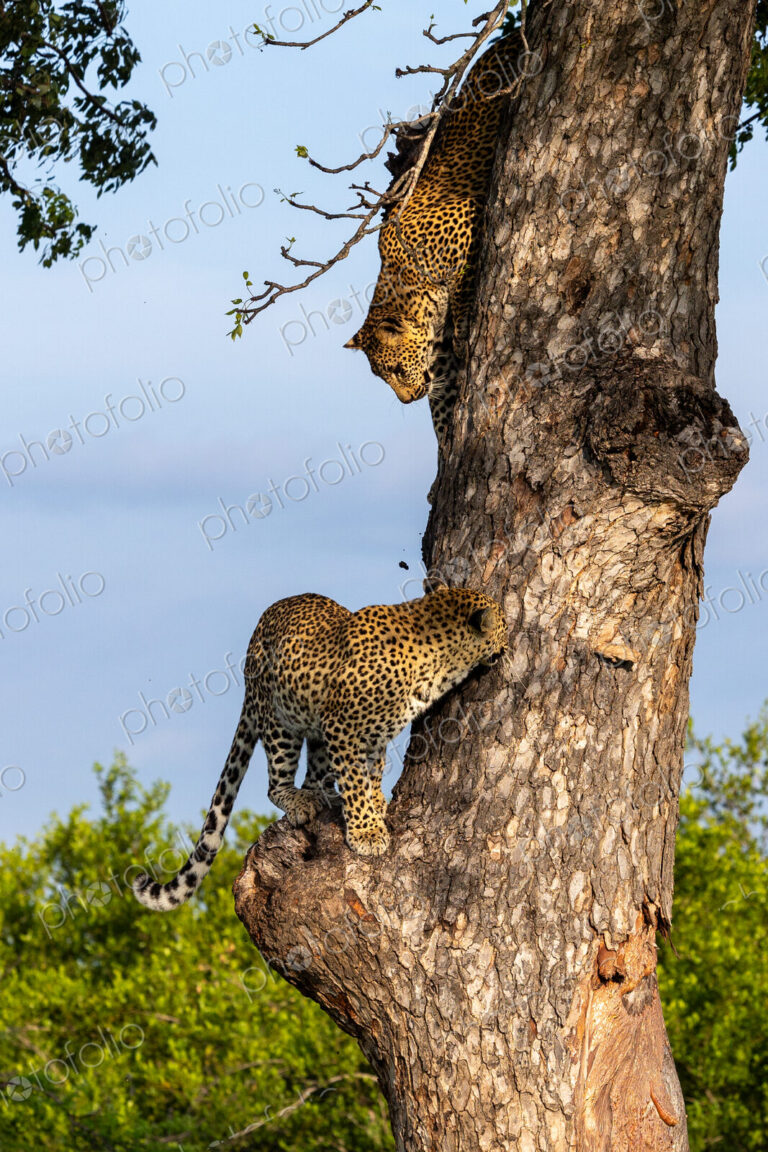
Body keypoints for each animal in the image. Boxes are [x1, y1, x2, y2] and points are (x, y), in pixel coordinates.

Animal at [132, 585, 507, 910]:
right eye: (503, 623)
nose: (509, 641)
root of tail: (257, 632)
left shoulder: (373, 734)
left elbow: (371, 773)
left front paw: (376, 806)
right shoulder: (343, 727)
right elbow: (355, 782)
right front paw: (366, 831)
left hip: (317, 732)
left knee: (314, 776)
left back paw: (323, 796)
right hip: (281, 719)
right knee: (276, 784)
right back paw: (301, 801)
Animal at [345, 30, 525, 451]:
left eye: (396, 369)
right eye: (382, 377)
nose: (406, 400)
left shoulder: (470, 218)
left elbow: (462, 286)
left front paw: (465, 325)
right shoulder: (435, 350)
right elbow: (440, 395)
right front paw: (444, 437)